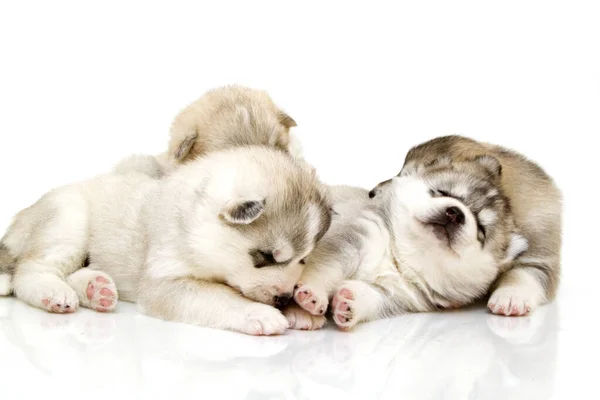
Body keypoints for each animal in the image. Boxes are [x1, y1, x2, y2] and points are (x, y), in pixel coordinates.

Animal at [0, 147, 330, 334]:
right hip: (68, 220)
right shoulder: (165, 281)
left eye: (304, 259)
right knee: (29, 271)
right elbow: (221, 295)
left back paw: (98, 289)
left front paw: (301, 308)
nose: (284, 299)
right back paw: (53, 293)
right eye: (266, 256)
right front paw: (260, 313)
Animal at [296, 136, 564, 330]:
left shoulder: (399, 294)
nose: (455, 213)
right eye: (442, 192)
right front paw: (314, 293)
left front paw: (350, 303)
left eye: (481, 229)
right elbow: (324, 268)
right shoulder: (350, 240)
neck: (399, 257)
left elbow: (373, 297)